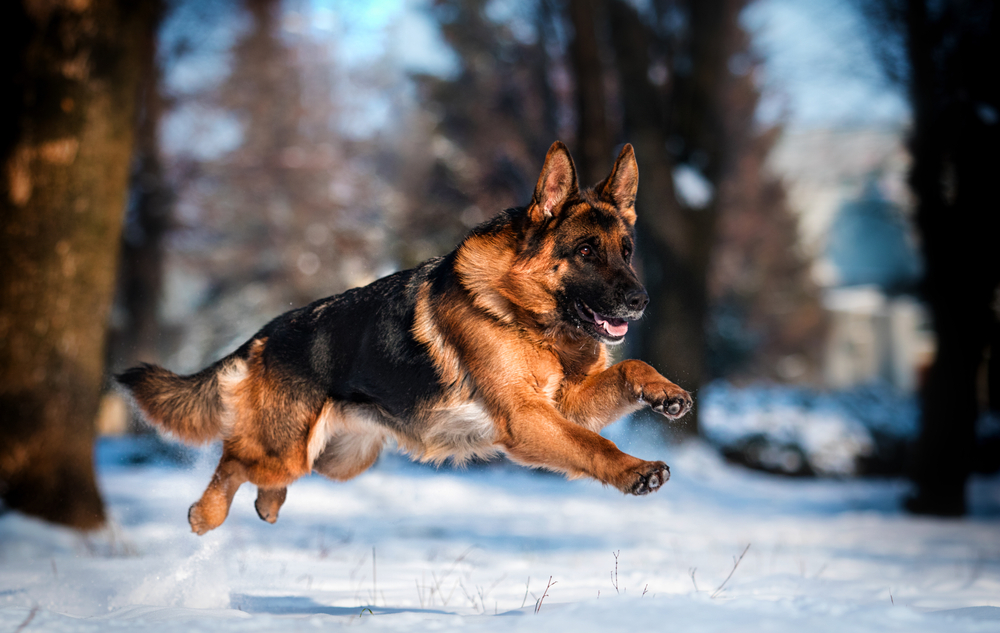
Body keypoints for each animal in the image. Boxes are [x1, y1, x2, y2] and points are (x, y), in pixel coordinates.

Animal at [117, 141, 692, 532]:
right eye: (586, 252)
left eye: (626, 251)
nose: (640, 300)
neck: (525, 315)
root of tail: (264, 334)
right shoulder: (529, 419)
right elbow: (594, 442)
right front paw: (635, 469)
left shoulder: (563, 404)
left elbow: (630, 369)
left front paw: (665, 391)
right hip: (286, 450)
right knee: (233, 457)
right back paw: (204, 514)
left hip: (338, 459)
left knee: (261, 476)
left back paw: (266, 504)